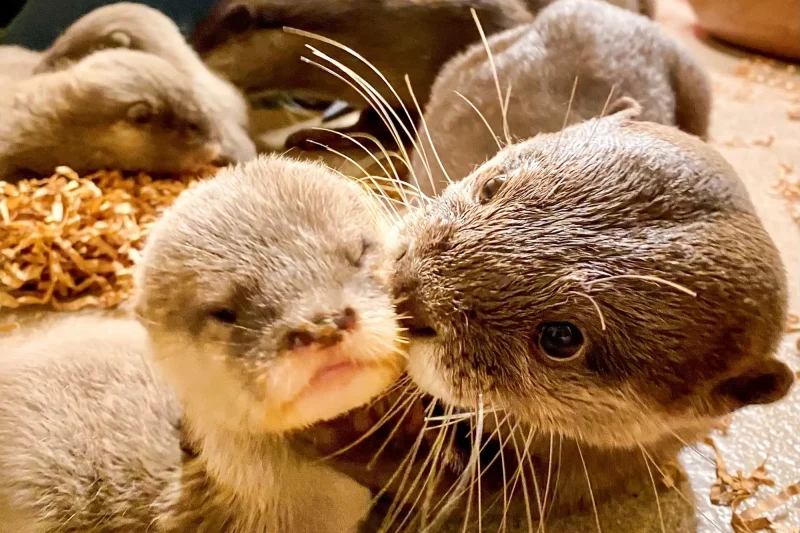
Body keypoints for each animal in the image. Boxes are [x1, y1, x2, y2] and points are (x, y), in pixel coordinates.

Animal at [293, 110, 794, 529]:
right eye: (491, 187)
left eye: (561, 337)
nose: (408, 294)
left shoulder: (556, 484)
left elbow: (431, 485)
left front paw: (342, 426)